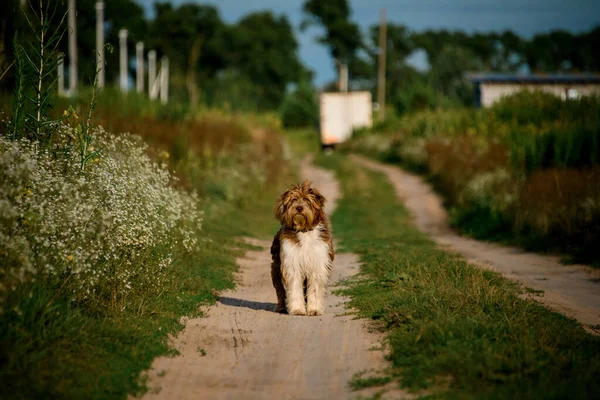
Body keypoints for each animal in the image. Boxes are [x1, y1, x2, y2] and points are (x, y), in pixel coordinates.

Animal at [270, 180, 336, 316]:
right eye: (294, 200)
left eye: (307, 200)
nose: (299, 208)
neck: (304, 230)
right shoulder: (291, 264)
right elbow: (295, 287)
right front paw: (297, 309)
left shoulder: (318, 264)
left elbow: (315, 288)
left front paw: (314, 309)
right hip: (276, 267)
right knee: (280, 289)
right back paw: (281, 307)